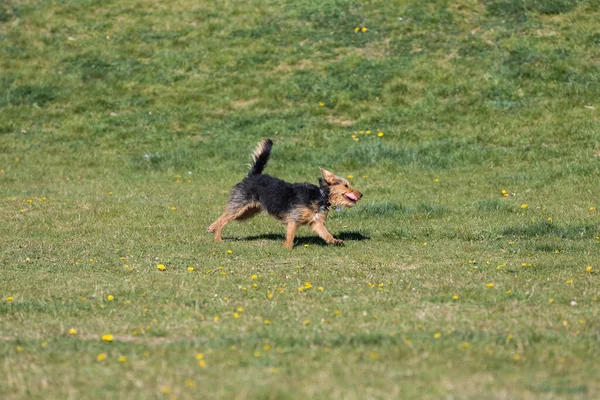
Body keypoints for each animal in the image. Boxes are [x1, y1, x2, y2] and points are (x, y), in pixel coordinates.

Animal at [209, 139, 364, 248]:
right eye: (346, 185)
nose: (361, 194)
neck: (321, 195)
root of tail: (252, 176)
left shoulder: (316, 222)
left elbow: (326, 233)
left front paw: (335, 241)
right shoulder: (294, 219)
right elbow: (290, 235)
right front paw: (287, 247)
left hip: (248, 212)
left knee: (222, 217)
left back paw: (211, 228)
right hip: (240, 206)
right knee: (223, 220)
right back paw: (217, 238)